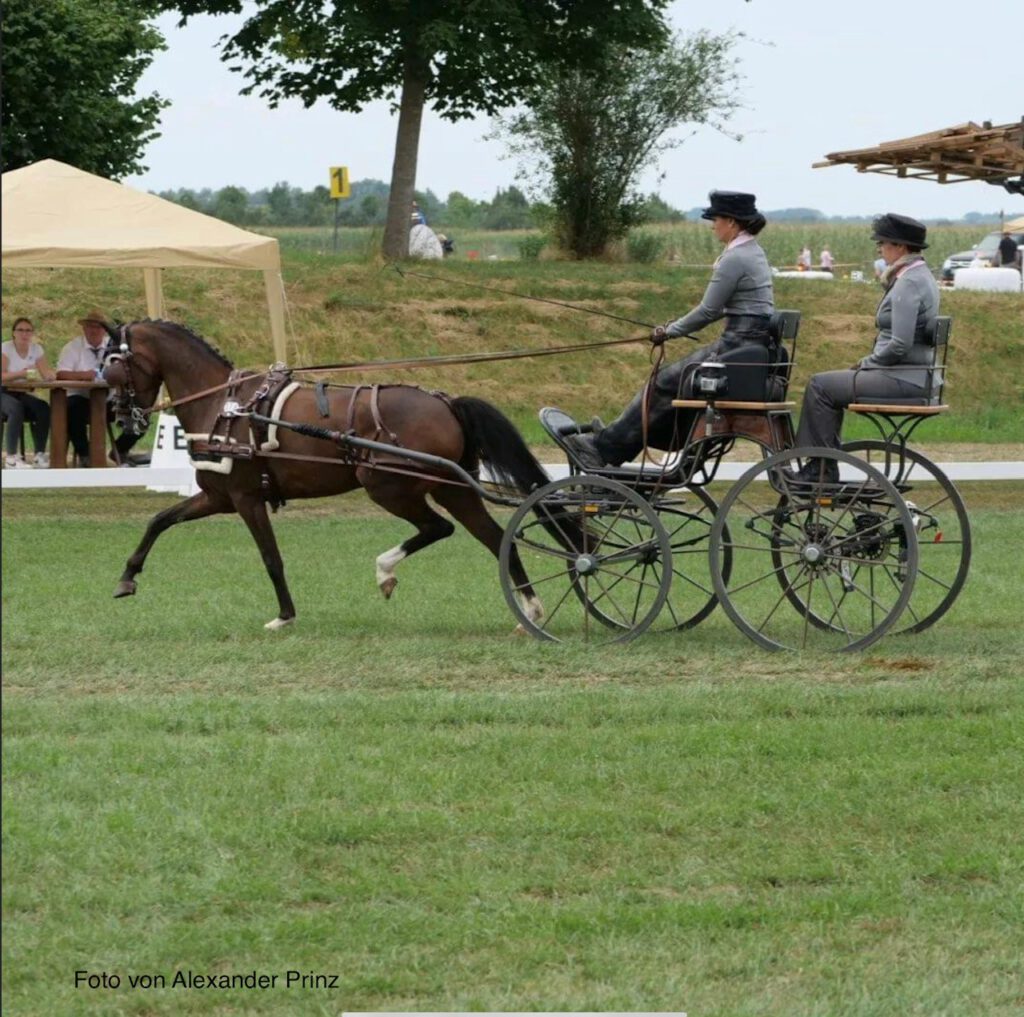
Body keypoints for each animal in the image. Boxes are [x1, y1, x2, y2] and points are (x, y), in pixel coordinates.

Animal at [103, 321, 552, 630]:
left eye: (112, 366)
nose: (120, 415)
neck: (224, 406)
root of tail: (445, 403)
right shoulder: (219, 497)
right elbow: (159, 521)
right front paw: (126, 579)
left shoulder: (246, 498)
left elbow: (271, 558)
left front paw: (284, 615)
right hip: (453, 489)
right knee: (495, 538)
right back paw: (530, 609)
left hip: (389, 487)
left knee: (439, 528)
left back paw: (386, 571)